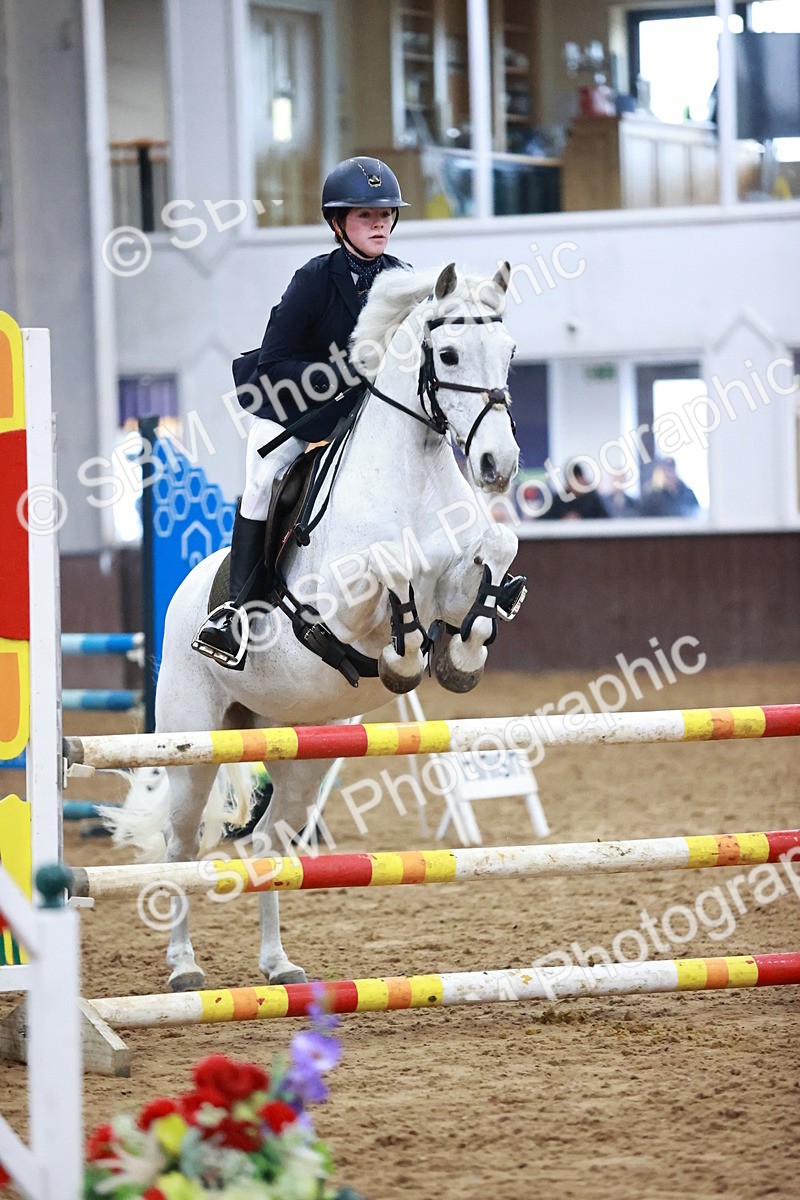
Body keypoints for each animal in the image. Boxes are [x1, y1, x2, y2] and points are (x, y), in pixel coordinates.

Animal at [115, 262, 521, 992]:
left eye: (508, 352)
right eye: (447, 355)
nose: (497, 467)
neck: (414, 466)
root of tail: (185, 594)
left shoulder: (458, 574)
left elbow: (492, 558)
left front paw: (462, 654)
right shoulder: (337, 599)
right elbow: (391, 568)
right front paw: (404, 655)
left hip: (304, 755)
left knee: (270, 841)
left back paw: (277, 964)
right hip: (194, 745)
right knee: (181, 841)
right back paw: (184, 967)